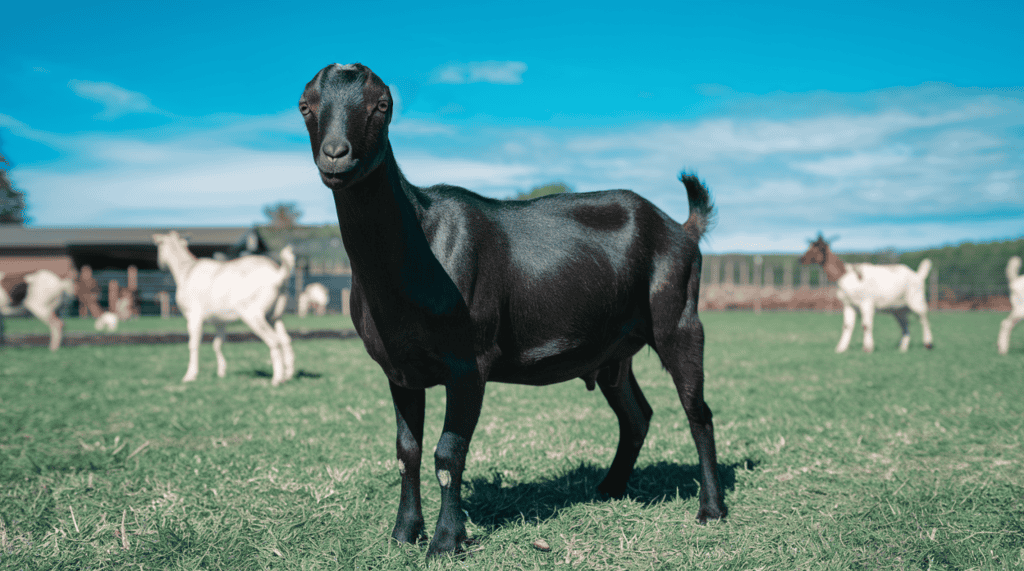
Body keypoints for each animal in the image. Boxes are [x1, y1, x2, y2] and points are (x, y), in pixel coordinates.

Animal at [153, 231, 296, 385]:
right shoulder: (219, 322)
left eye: (159, 246)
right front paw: (221, 372)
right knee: (285, 340)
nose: (160, 265)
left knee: (274, 341)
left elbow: (193, 344)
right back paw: (288, 375)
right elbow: (217, 344)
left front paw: (190, 376)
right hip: (275, 316)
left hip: (253, 315)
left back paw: (276, 379)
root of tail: (278, 276)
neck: (187, 270)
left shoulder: (194, 317)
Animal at [300, 63, 725, 557]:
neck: (422, 245)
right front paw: (403, 533)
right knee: (636, 415)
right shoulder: (398, 368)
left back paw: (711, 509)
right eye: (305, 105)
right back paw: (609, 489)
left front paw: (446, 541)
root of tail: (682, 229)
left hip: (679, 317)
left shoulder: (469, 362)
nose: (335, 155)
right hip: (614, 348)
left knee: (698, 411)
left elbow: (448, 453)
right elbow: (407, 451)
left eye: (382, 106)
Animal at [799, 235, 934, 353]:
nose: (801, 259)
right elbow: (847, 326)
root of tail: (918, 275)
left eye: (817, 248)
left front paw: (868, 348)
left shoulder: (867, 303)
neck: (846, 275)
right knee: (905, 325)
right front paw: (841, 349)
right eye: (810, 246)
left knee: (923, 318)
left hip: (916, 299)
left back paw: (928, 344)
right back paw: (903, 349)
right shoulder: (849, 304)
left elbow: (866, 325)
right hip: (898, 309)